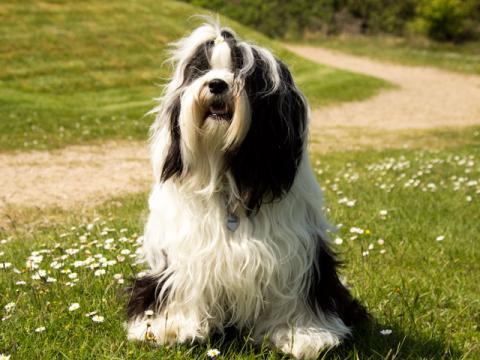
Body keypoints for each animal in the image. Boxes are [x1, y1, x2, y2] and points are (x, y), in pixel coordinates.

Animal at [124, 21, 368, 358]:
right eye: (200, 70)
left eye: (245, 74)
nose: (216, 84)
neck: (229, 177)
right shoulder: (184, 251)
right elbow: (182, 284)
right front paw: (169, 327)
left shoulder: (294, 249)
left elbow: (294, 292)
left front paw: (302, 334)